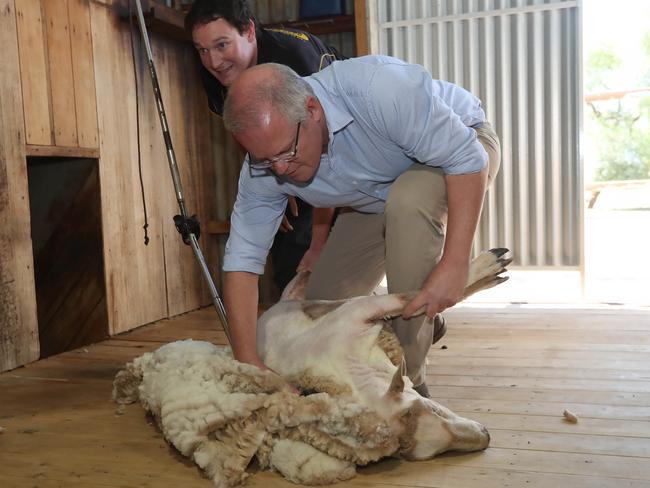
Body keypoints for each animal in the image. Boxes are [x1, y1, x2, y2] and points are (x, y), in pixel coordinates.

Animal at [112, 250, 512, 486]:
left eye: (432, 408)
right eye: (423, 451)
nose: (486, 436)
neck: (349, 365)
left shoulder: (361, 311)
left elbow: (415, 297)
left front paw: (487, 267)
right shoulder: (360, 311)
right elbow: (413, 296)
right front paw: (488, 267)